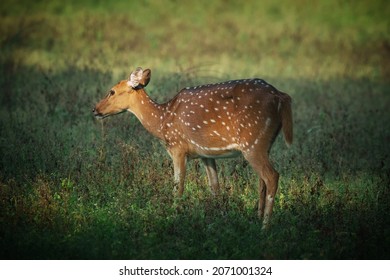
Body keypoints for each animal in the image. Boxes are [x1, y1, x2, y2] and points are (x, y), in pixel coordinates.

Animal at [93, 66, 292, 229]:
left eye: (112, 91)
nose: (94, 109)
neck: (162, 121)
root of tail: (280, 96)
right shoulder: (206, 154)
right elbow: (215, 188)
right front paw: (219, 220)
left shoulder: (178, 148)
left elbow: (178, 188)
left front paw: (173, 218)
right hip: (264, 144)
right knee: (262, 180)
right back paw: (258, 219)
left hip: (252, 143)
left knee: (272, 176)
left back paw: (264, 227)